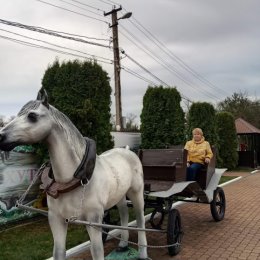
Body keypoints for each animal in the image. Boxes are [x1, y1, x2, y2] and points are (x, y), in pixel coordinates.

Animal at [0, 90, 147, 260]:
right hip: (120, 195)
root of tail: (128, 151)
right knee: (124, 213)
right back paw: (123, 245)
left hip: (136, 194)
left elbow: (97, 251)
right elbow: (58, 252)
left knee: (141, 221)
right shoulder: (56, 220)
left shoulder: (93, 221)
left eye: (32, 116)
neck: (73, 180)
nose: (1, 136)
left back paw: (143, 253)